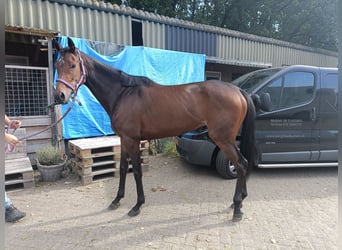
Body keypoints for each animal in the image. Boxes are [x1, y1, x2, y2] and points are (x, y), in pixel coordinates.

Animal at [54, 37, 256, 221]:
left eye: (72, 65)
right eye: (57, 65)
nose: (60, 96)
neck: (123, 93)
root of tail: (238, 91)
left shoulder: (133, 140)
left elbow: (136, 171)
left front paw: (137, 206)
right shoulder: (123, 139)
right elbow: (122, 168)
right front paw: (116, 200)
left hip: (223, 139)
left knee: (240, 164)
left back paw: (237, 208)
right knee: (244, 163)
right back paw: (239, 202)